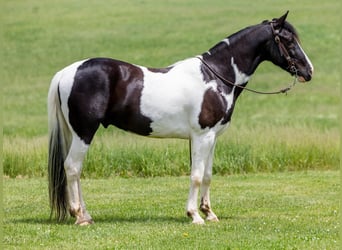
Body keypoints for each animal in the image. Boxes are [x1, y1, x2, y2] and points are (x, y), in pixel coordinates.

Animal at [47, 11, 312, 226]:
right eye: (288, 40)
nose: (308, 72)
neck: (216, 76)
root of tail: (67, 72)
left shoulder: (212, 137)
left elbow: (207, 175)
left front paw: (209, 213)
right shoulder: (201, 136)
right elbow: (195, 176)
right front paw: (194, 216)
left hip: (76, 133)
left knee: (77, 170)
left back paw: (86, 215)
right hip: (84, 132)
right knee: (72, 167)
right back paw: (79, 216)